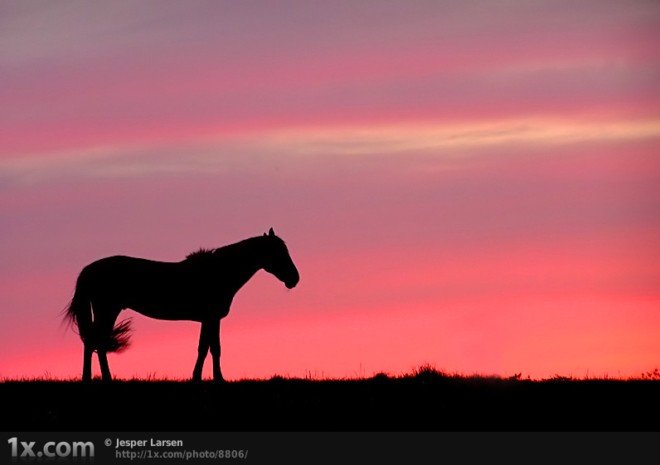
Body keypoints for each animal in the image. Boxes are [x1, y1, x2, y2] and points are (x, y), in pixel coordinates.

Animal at [63, 227, 300, 382]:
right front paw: (215, 379)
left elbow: (207, 348)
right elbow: (212, 348)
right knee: (96, 342)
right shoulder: (212, 317)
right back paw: (100, 379)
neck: (219, 272)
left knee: (95, 342)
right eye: (278, 253)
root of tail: (89, 270)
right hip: (107, 309)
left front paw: (201, 378)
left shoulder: (208, 319)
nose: (294, 279)